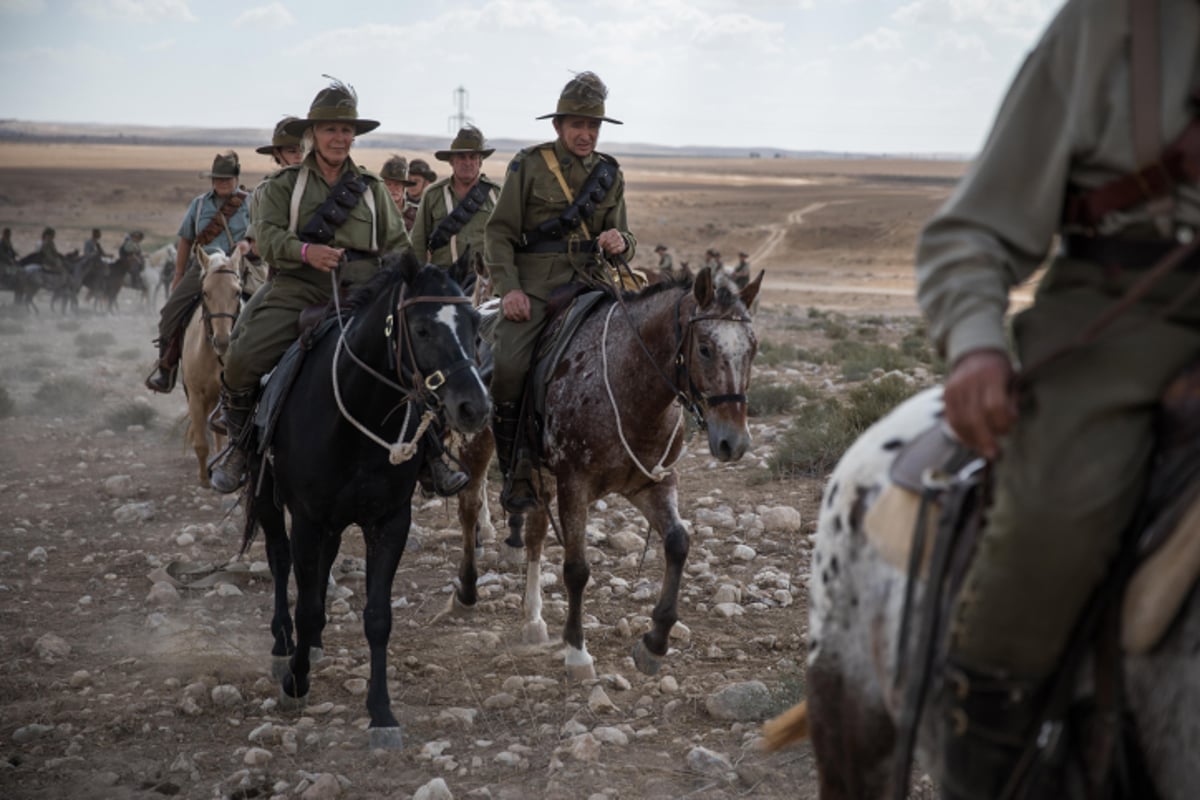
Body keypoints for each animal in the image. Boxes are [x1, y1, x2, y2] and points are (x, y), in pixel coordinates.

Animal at [178, 250, 240, 489]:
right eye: (205, 292)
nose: (222, 341)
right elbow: (201, 443)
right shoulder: (196, 396)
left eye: (237, 292)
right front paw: (205, 479)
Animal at [241, 251, 489, 753]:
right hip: (269, 499)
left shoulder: (390, 521)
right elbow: (305, 602)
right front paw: (295, 682)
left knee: (320, 565)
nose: (474, 407)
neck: (358, 413)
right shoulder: (308, 519)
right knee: (280, 560)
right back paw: (283, 646)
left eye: (475, 324)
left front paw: (381, 714)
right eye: (422, 329)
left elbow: (377, 617)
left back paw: (313, 643)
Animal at [446, 266, 763, 681]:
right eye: (706, 348)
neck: (630, 383)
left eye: (753, 348)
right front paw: (577, 651)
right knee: (469, 508)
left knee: (534, 536)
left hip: (539, 475)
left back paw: (532, 619)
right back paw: (467, 591)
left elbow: (678, 542)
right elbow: (577, 569)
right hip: (476, 441)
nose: (734, 441)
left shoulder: (652, 483)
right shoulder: (574, 486)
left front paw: (655, 640)